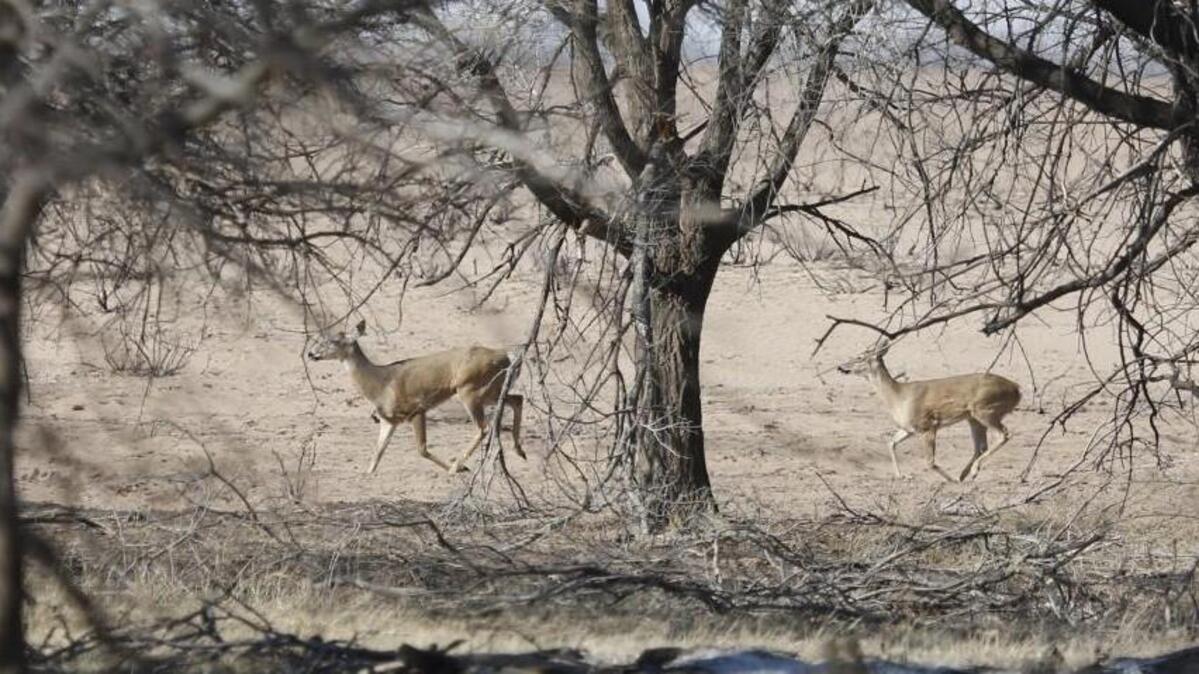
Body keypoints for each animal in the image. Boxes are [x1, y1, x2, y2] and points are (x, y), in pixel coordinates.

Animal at [306, 320, 525, 475]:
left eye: (332, 341)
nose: (310, 353)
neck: (380, 384)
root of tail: (507, 356)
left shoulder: (416, 409)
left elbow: (421, 449)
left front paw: (460, 468)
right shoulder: (389, 420)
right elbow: (377, 452)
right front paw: (367, 474)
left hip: (470, 389)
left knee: (483, 427)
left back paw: (456, 466)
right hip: (491, 390)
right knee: (517, 398)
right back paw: (519, 450)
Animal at [838, 343, 1020, 482]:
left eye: (860, 357)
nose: (841, 367)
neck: (899, 397)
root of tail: (1017, 389)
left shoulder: (928, 424)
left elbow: (929, 462)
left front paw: (950, 480)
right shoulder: (909, 428)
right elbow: (891, 443)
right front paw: (901, 476)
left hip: (985, 409)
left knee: (1003, 434)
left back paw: (971, 472)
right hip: (973, 417)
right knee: (981, 446)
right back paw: (964, 475)